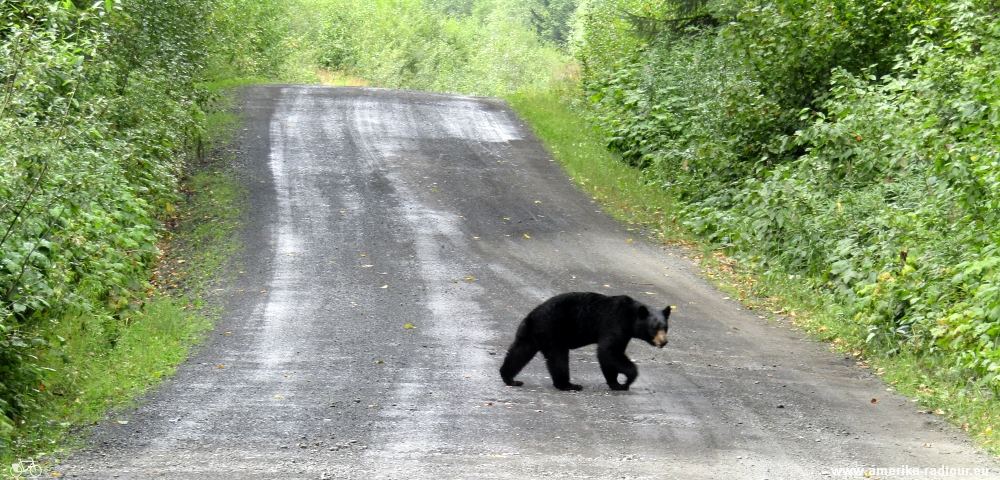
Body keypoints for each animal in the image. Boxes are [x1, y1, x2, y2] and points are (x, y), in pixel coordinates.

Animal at [500, 292, 672, 390]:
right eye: (655, 328)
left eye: (666, 327)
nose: (664, 342)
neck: (629, 317)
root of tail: (531, 317)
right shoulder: (614, 324)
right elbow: (608, 350)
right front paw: (627, 380)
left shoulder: (624, 333)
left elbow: (610, 355)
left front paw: (615, 383)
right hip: (553, 331)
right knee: (558, 358)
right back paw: (568, 385)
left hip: (530, 335)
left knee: (518, 352)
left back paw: (510, 378)